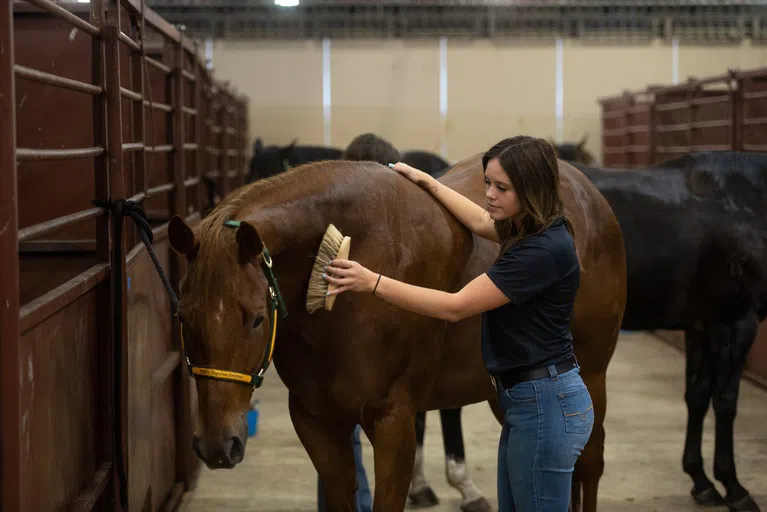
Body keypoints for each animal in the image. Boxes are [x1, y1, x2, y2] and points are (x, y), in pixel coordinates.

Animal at [560, 145, 767, 512]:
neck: (745, 199)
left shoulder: (702, 327)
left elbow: (697, 396)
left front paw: (701, 481)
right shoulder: (738, 322)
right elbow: (726, 401)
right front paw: (733, 486)